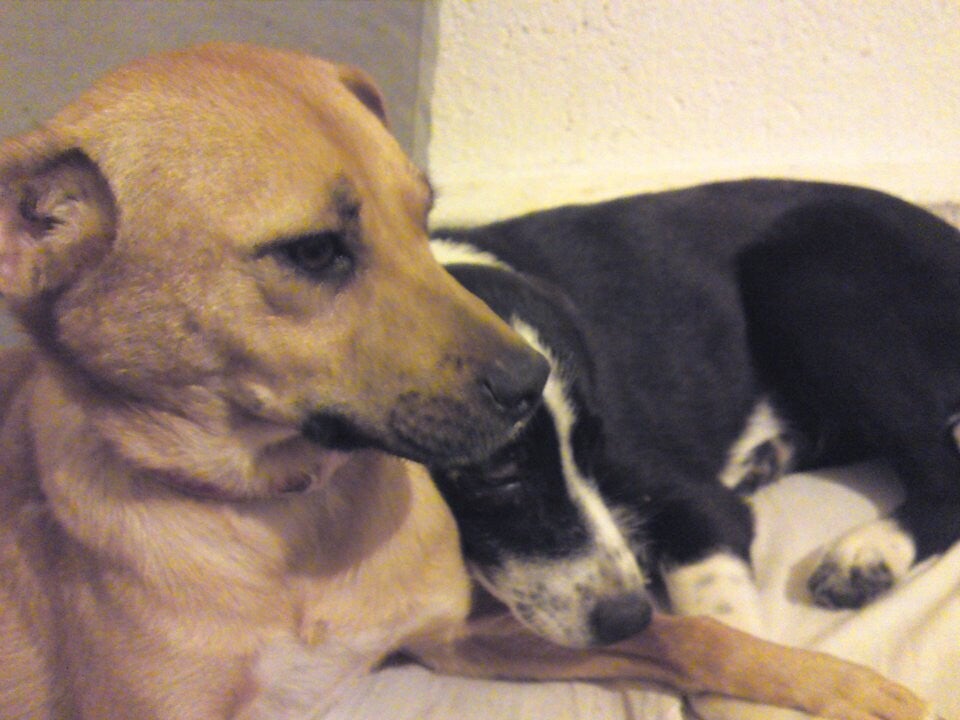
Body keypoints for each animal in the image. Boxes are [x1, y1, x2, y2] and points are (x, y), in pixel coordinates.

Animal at [0, 43, 935, 720]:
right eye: (492, 478)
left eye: (421, 211)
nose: (626, 614)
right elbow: (692, 624)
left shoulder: (676, 507)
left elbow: (708, 623)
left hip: (811, 286)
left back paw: (868, 552)